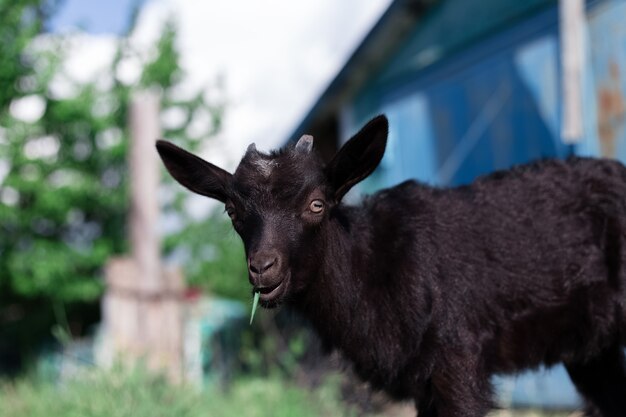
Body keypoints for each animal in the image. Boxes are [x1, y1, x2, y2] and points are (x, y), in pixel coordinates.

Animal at [157, 114, 624, 416]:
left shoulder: (459, 359)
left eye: (317, 204)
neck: (373, 269)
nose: (263, 268)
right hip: (591, 348)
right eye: (232, 211)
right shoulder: (422, 382)